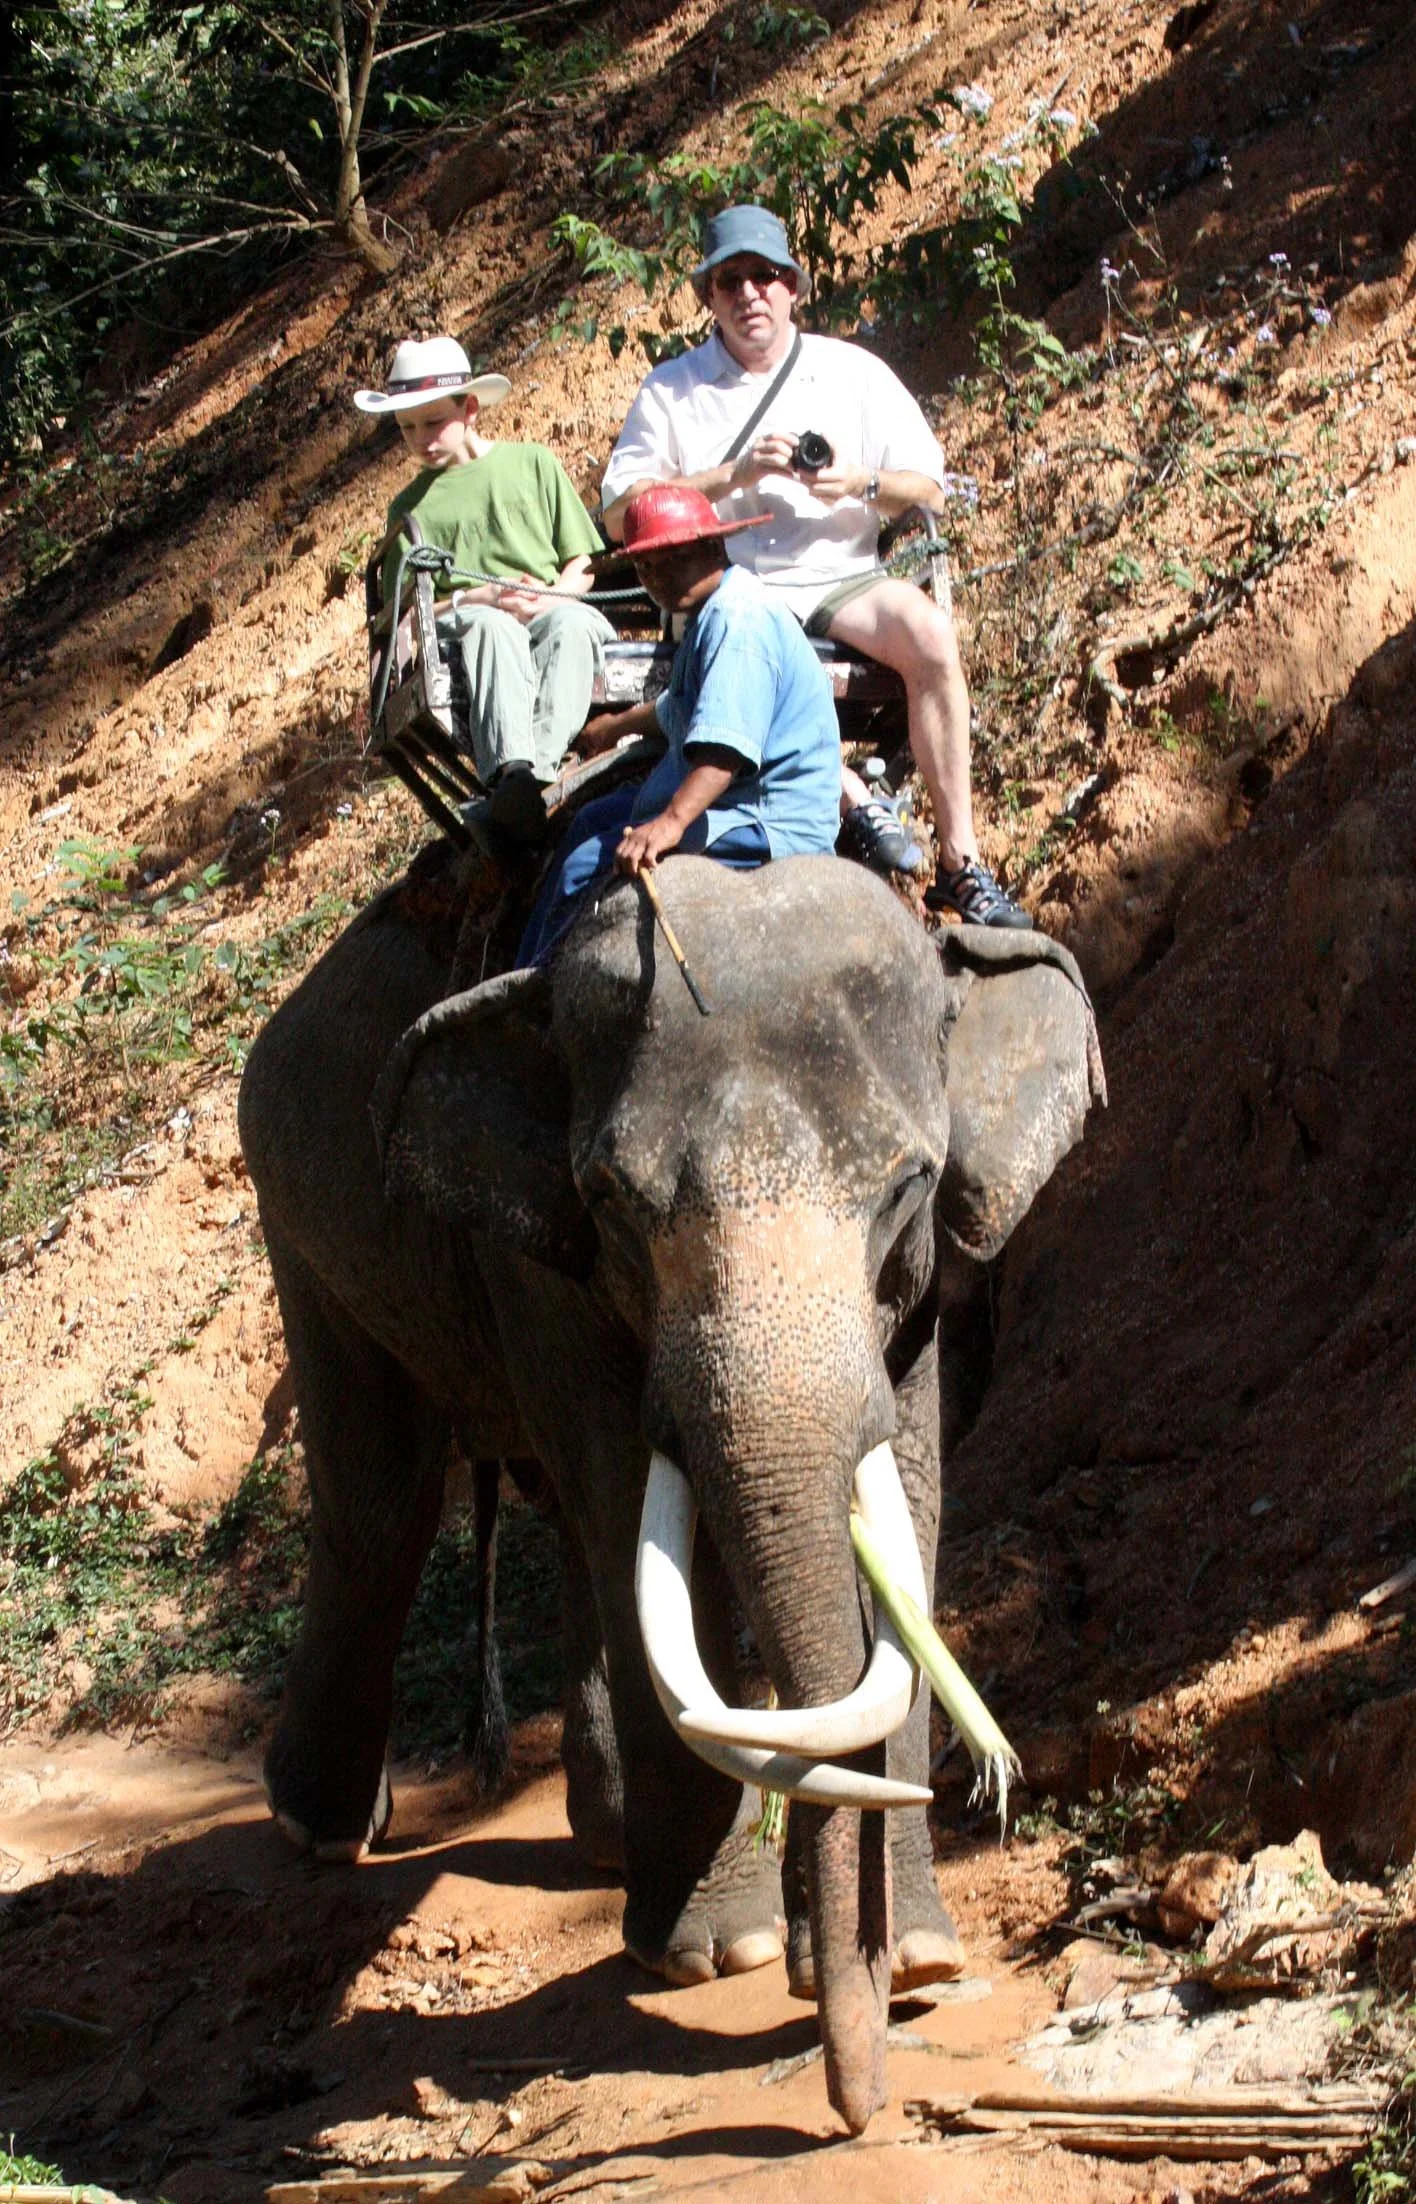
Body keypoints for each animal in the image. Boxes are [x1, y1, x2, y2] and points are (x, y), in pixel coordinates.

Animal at [236, 841, 1104, 2134]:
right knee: (385, 1505)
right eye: (612, 1201)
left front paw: (918, 1958)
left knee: (547, 1526)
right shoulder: (537, 1257)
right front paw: (718, 1950)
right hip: (306, 1209)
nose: (857, 2106)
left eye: (908, 1185)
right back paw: (326, 1825)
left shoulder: (926, 1286)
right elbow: (626, 1496)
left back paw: (603, 1846)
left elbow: (911, 1484)